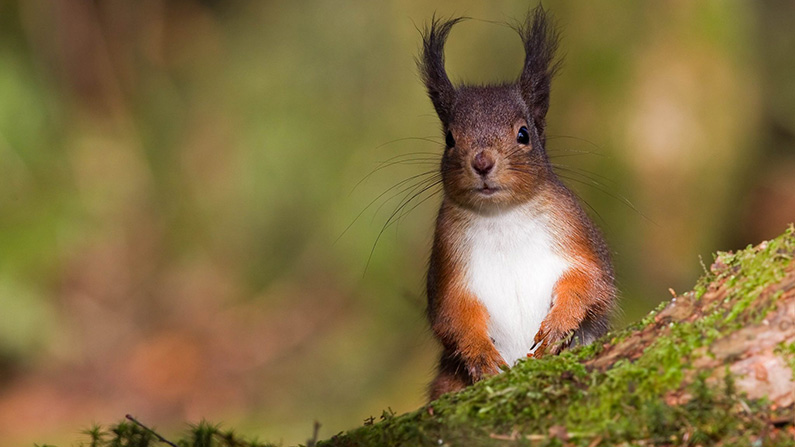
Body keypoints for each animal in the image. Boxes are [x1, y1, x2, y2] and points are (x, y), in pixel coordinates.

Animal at [420, 6, 620, 402]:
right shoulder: (448, 263)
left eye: (523, 133)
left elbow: (590, 282)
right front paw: (480, 354)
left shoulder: (575, 235)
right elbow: (453, 314)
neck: (502, 218)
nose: (482, 162)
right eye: (450, 139)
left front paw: (559, 325)